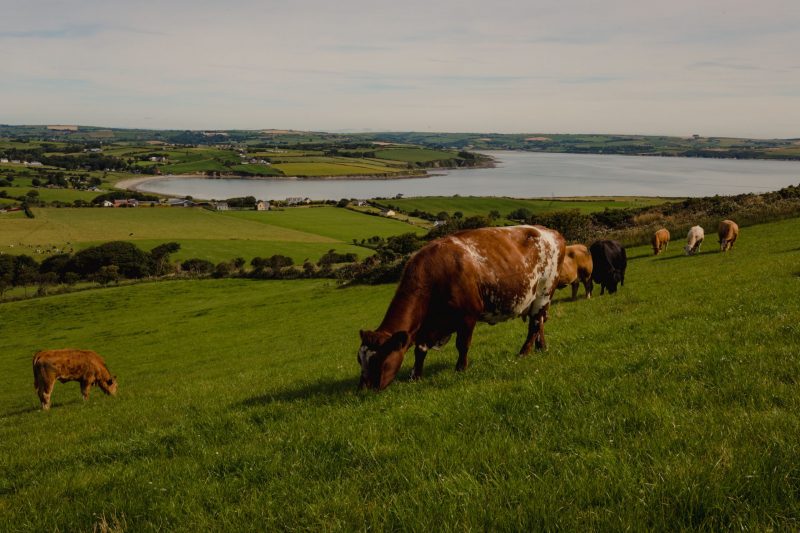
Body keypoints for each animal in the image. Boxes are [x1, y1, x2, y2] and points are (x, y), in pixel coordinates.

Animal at [356, 224, 564, 390]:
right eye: (359, 359)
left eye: (378, 359)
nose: (363, 389)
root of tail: (550, 231)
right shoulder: (428, 325)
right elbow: (420, 349)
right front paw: (415, 376)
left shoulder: (468, 315)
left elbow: (462, 344)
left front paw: (460, 369)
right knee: (540, 321)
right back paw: (541, 348)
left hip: (544, 292)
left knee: (535, 324)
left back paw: (524, 352)